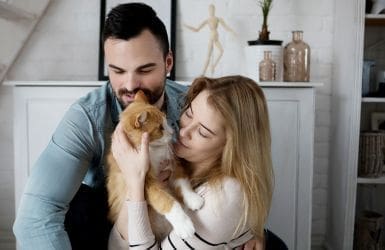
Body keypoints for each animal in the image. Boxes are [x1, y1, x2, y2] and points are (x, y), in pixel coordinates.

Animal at [103, 91, 202, 239]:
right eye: (160, 128)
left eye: (165, 121)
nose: (173, 132)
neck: (153, 150)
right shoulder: (147, 184)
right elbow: (167, 201)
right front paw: (184, 225)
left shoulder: (172, 165)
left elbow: (184, 184)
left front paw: (193, 199)